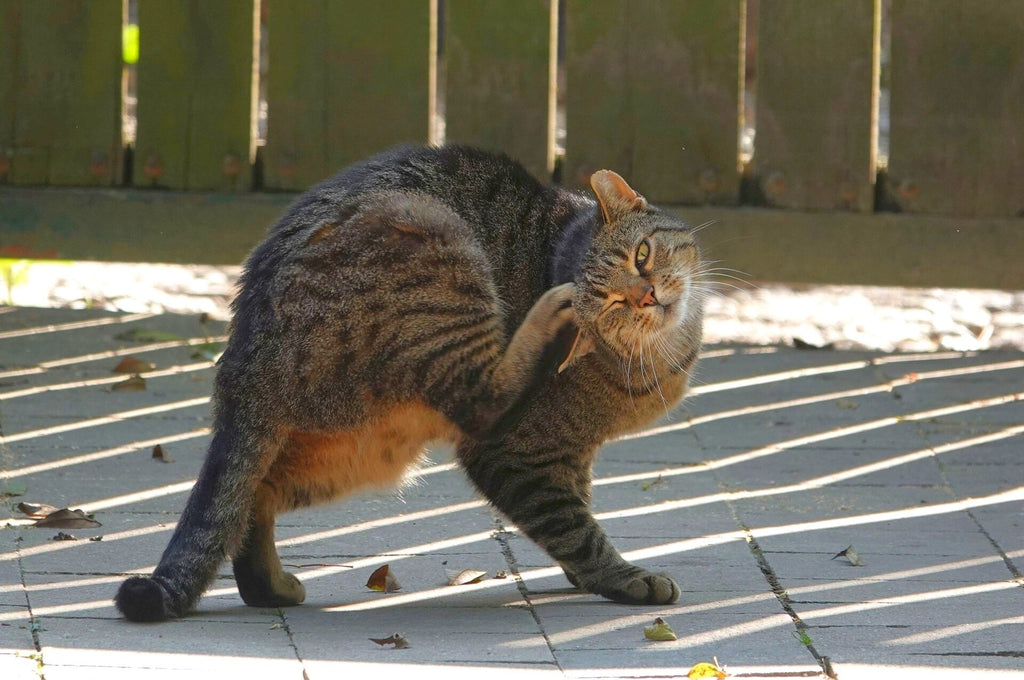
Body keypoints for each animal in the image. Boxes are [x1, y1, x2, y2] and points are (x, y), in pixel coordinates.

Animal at [114, 144, 704, 622]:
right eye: (613, 302)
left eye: (643, 256)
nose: (649, 295)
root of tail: (242, 350)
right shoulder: (520, 455)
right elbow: (574, 527)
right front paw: (625, 579)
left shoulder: (572, 452)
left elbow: (576, 509)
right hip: (432, 237)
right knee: (484, 401)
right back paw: (547, 320)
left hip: (354, 451)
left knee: (248, 498)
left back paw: (269, 588)